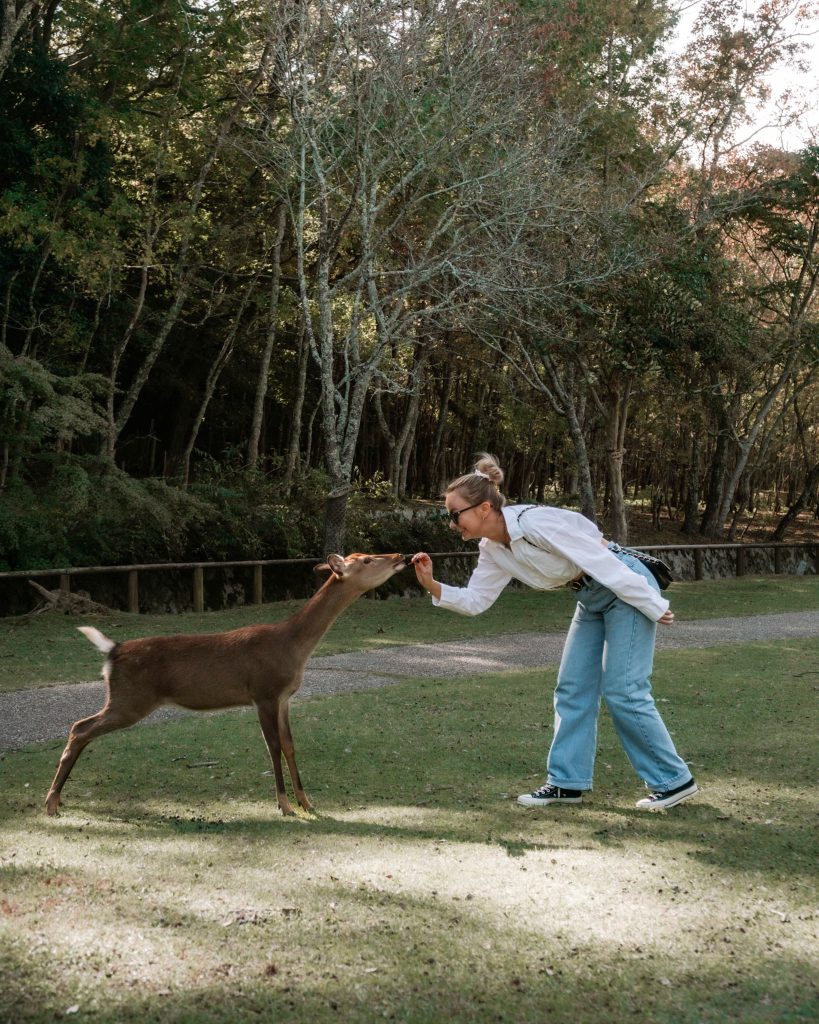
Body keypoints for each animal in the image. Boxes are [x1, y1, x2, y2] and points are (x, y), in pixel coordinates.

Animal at [45, 552, 406, 817]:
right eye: (367, 560)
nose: (400, 555)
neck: (291, 646)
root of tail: (112, 651)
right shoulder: (263, 691)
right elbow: (273, 746)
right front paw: (284, 806)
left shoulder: (285, 697)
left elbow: (290, 745)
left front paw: (307, 802)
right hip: (130, 699)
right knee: (79, 727)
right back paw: (51, 802)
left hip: (125, 699)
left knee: (81, 728)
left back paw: (58, 799)